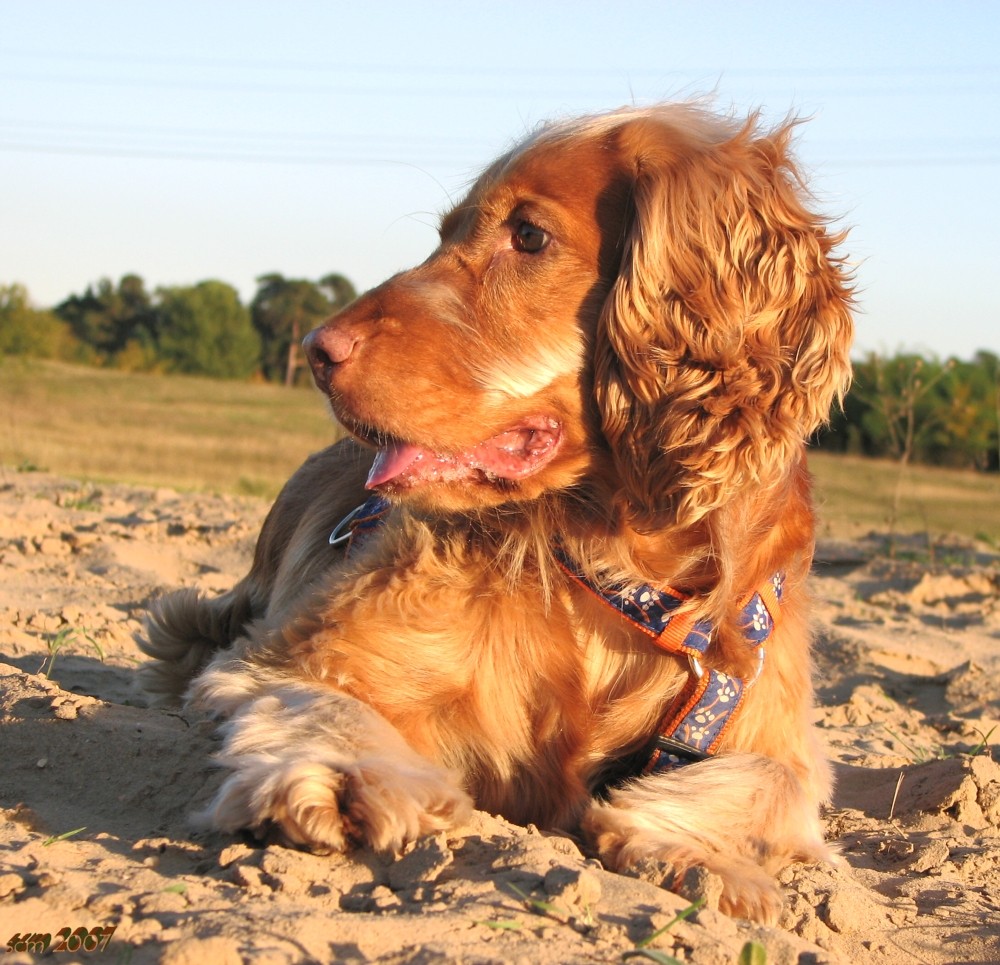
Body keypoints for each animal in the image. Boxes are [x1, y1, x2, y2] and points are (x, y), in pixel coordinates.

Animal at [141, 101, 852, 924]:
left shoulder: (771, 724)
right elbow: (322, 701)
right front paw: (344, 779)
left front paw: (694, 852)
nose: (316, 349)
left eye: (529, 237)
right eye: (445, 233)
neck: (619, 576)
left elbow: (778, 782)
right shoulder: (285, 653)